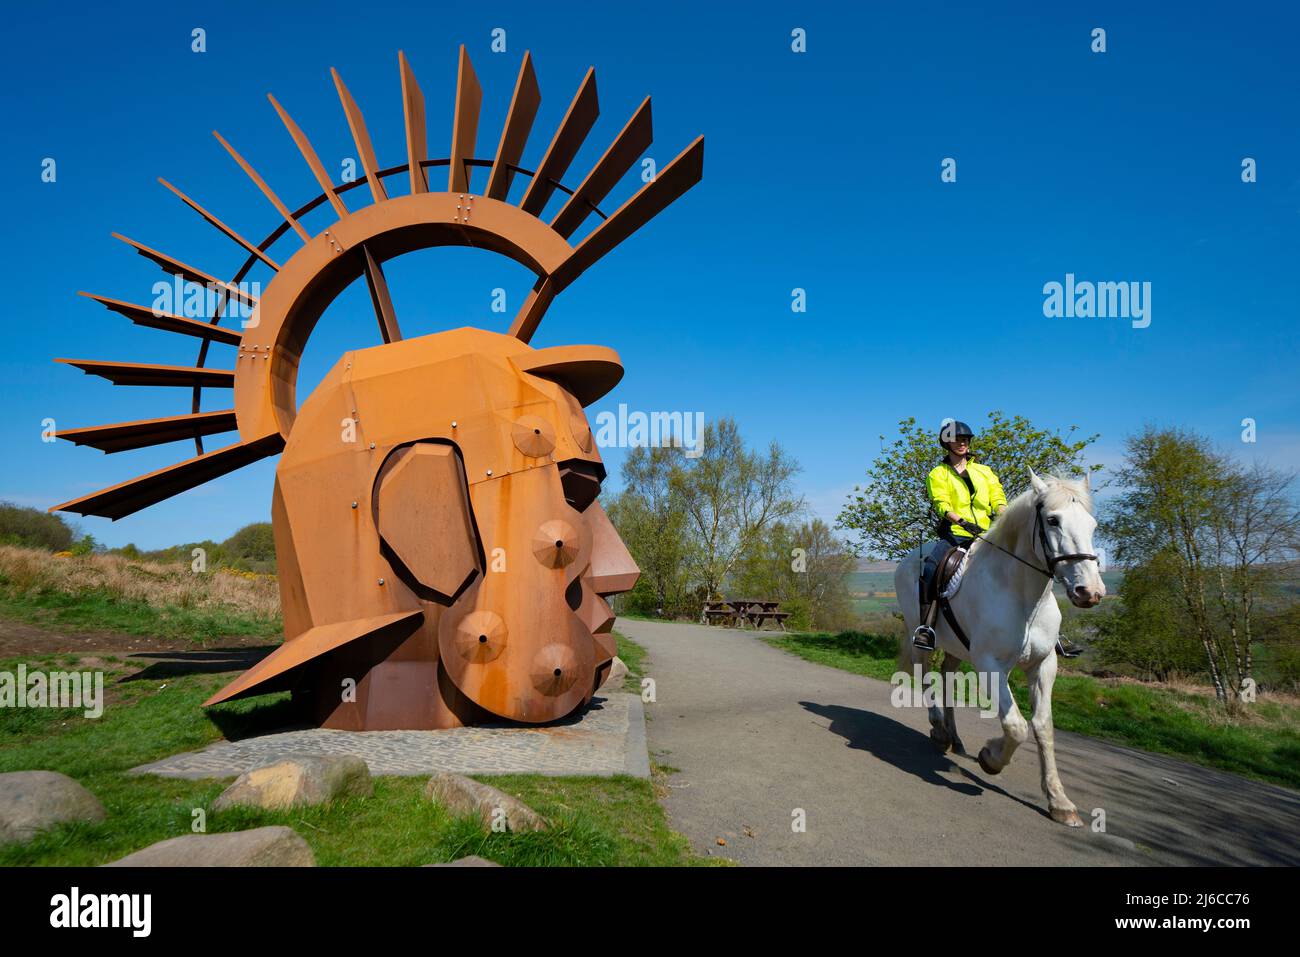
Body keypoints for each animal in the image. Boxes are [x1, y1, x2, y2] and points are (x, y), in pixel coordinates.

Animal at [894, 468, 1107, 821]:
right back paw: (939, 731)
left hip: (956, 648)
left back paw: (954, 738)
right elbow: (1016, 726)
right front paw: (990, 759)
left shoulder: (1043, 666)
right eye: (1053, 520)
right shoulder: (991, 666)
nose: (1089, 592)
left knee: (947, 677)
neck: (1024, 597)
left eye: (1093, 525)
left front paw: (1059, 801)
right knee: (925, 676)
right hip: (919, 636)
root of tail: (906, 560)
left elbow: (1043, 727)